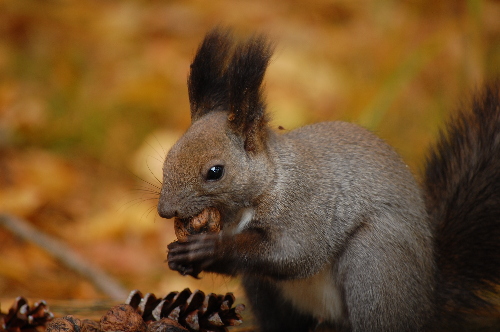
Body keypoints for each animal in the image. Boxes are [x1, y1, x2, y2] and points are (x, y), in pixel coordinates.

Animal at [158, 29, 500, 332]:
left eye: (215, 171)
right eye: (168, 157)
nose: (165, 210)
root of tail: (427, 305)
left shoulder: (306, 208)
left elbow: (294, 254)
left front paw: (211, 249)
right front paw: (179, 258)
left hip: (376, 263)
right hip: (262, 289)